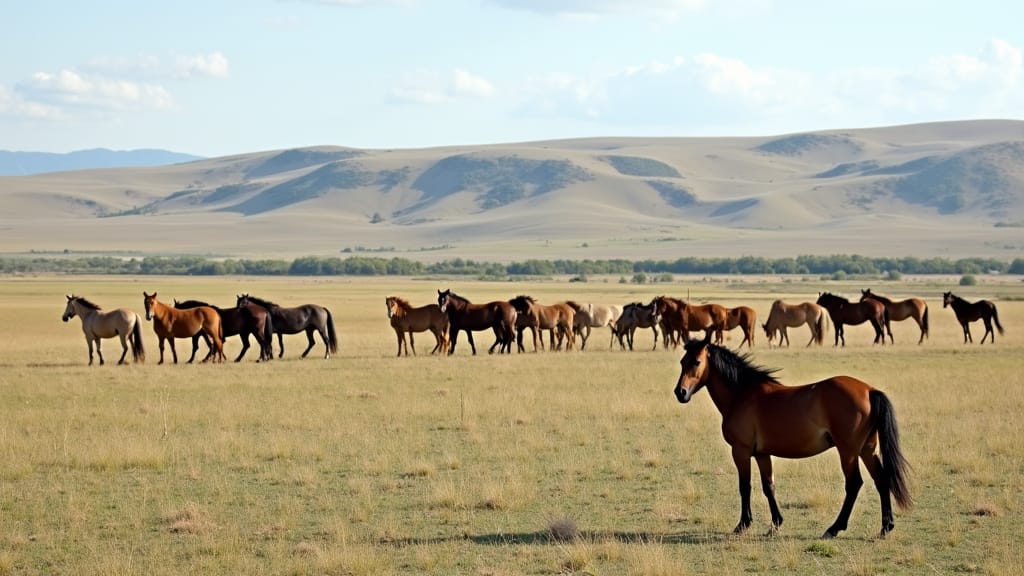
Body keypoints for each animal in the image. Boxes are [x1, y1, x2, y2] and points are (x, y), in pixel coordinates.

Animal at [673, 333, 912, 539]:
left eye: (696, 362)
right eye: (682, 362)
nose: (680, 393)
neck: (741, 394)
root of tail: (869, 390)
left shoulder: (741, 451)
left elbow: (745, 486)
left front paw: (743, 524)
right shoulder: (761, 454)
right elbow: (768, 487)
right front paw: (776, 523)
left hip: (848, 452)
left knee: (854, 484)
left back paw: (834, 528)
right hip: (867, 450)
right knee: (881, 480)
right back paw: (885, 527)